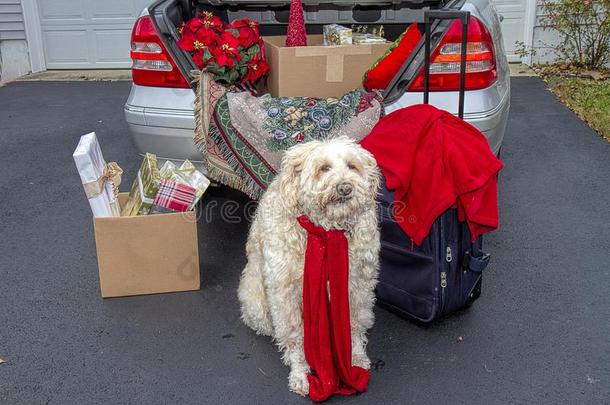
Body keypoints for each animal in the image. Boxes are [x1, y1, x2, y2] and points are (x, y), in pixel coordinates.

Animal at [238, 136, 380, 394]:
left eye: (352, 166)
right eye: (323, 168)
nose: (345, 187)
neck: (327, 231)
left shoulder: (359, 286)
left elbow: (353, 324)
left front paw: (355, 358)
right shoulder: (286, 293)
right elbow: (295, 336)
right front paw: (301, 373)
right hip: (257, 303)